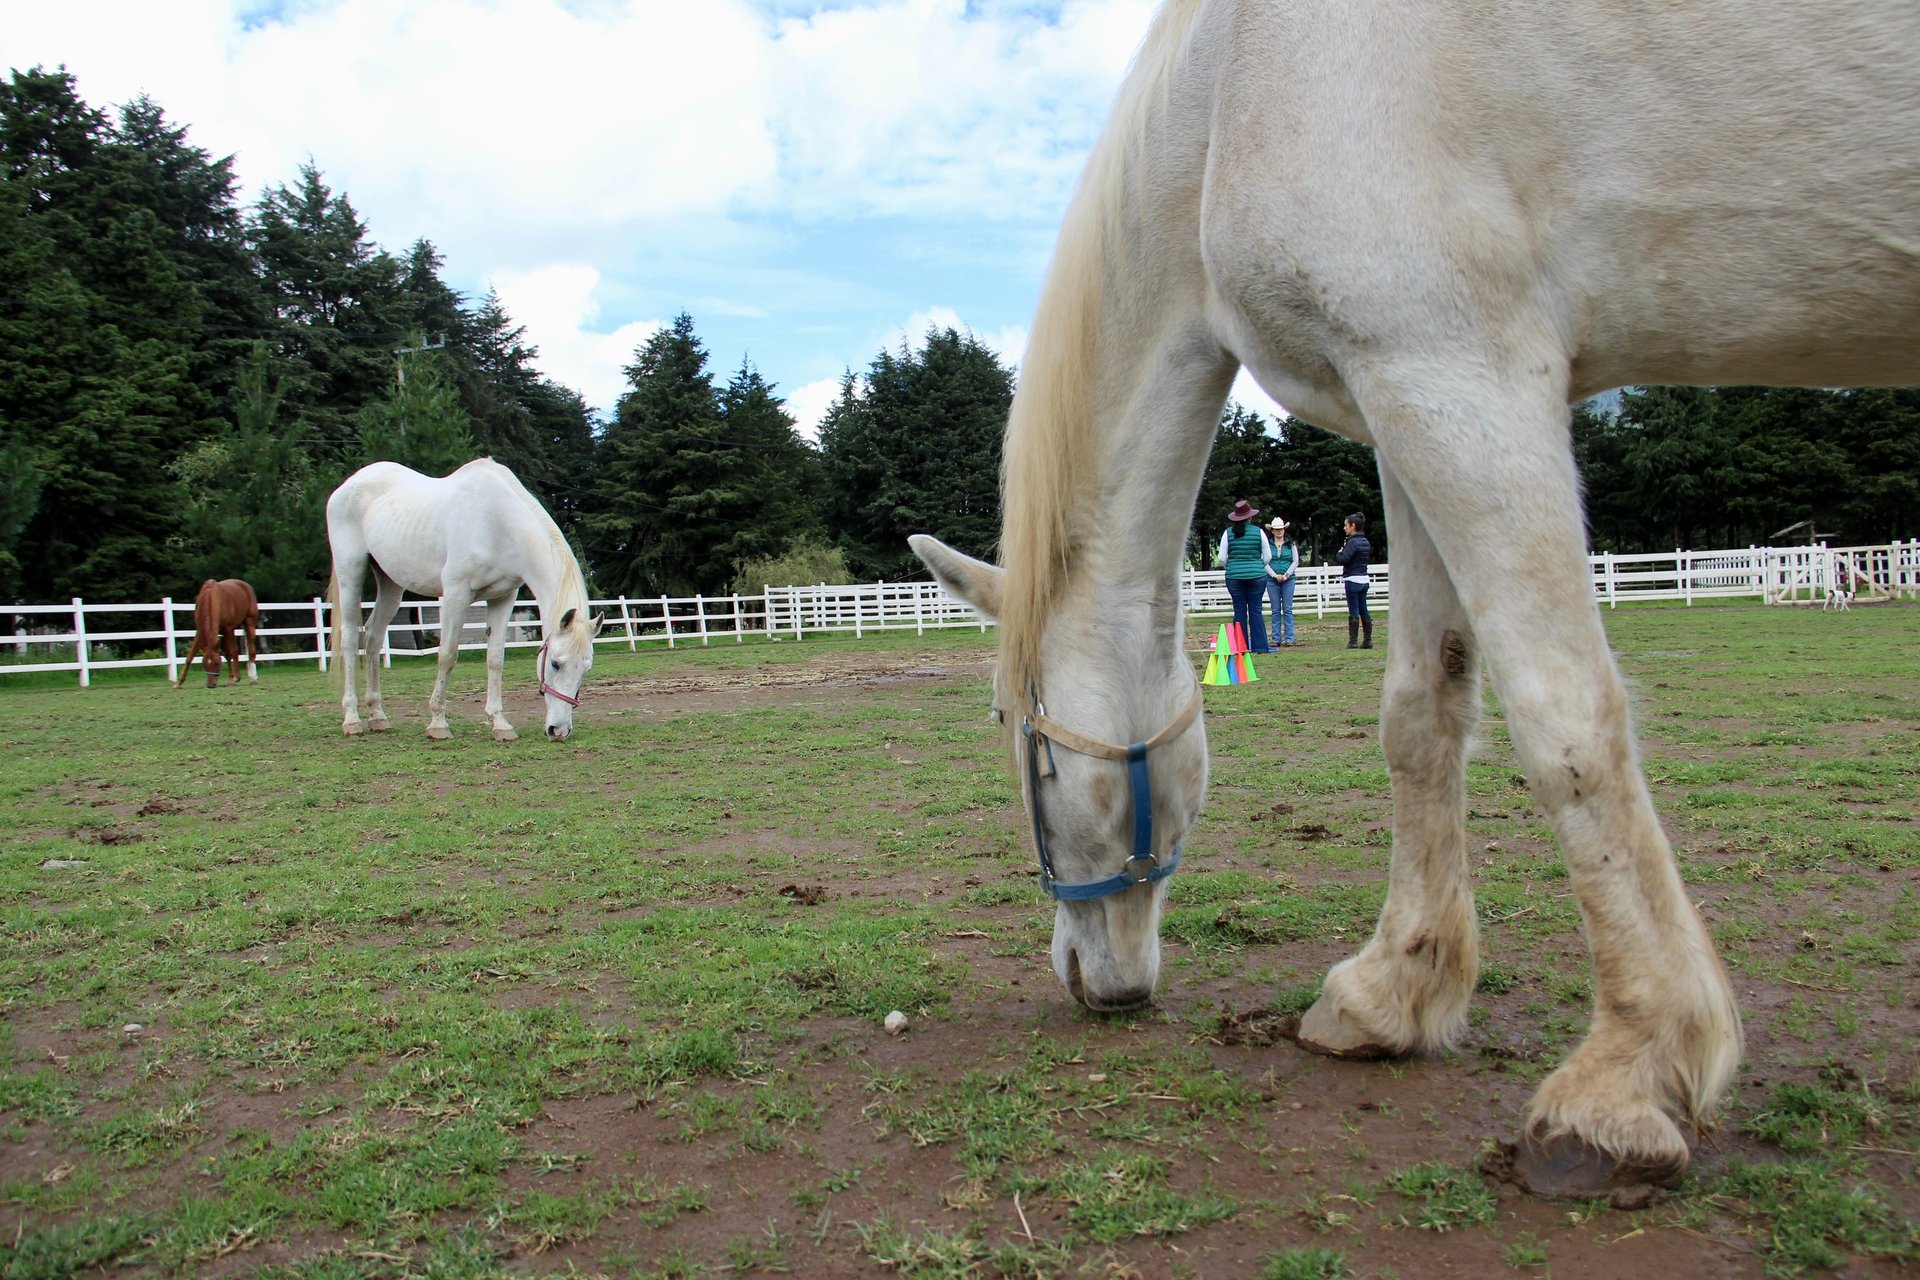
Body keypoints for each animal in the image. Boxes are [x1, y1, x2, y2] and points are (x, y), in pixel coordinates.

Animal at [326, 458, 602, 740]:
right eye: (555, 664)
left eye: (586, 668)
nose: (559, 730)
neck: (498, 522)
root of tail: (348, 485)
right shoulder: (455, 593)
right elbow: (447, 655)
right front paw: (438, 723)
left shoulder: (503, 597)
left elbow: (495, 658)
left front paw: (500, 723)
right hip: (351, 572)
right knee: (350, 639)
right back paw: (352, 719)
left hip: (391, 583)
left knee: (373, 637)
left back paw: (378, 716)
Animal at [910, 0, 1920, 1205]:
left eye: (1023, 741)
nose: (1082, 976)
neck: (1234, 83)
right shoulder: (1401, 396)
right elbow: (1422, 711)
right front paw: (1393, 989)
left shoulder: (1455, 365)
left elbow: (1564, 719)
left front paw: (1626, 1076)